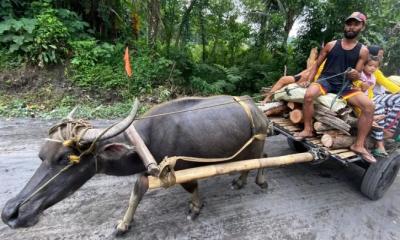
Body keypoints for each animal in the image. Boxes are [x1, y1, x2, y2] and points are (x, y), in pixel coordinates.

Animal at [2, 95, 268, 234]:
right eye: (41, 156)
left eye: (66, 159)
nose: (10, 213)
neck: (146, 139)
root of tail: (256, 108)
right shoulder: (145, 171)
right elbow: (137, 191)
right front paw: (123, 224)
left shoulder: (182, 169)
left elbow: (192, 187)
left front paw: (195, 208)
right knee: (253, 161)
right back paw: (243, 181)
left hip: (256, 144)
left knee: (260, 159)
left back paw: (257, 181)